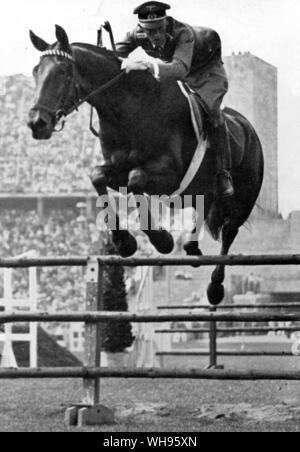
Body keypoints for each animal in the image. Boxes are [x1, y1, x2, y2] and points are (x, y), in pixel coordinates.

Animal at [27, 25, 262, 308]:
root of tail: (248, 128)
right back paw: (192, 248)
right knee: (203, 208)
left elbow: (136, 179)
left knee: (228, 233)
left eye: (62, 70)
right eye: (36, 71)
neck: (130, 108)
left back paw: (214, 288)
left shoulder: (169, 174)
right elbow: (98, 177)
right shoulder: (116, 169)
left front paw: (162, 240)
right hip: (198, 191)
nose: (37, 123)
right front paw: (124, 242)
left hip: (241, 201)